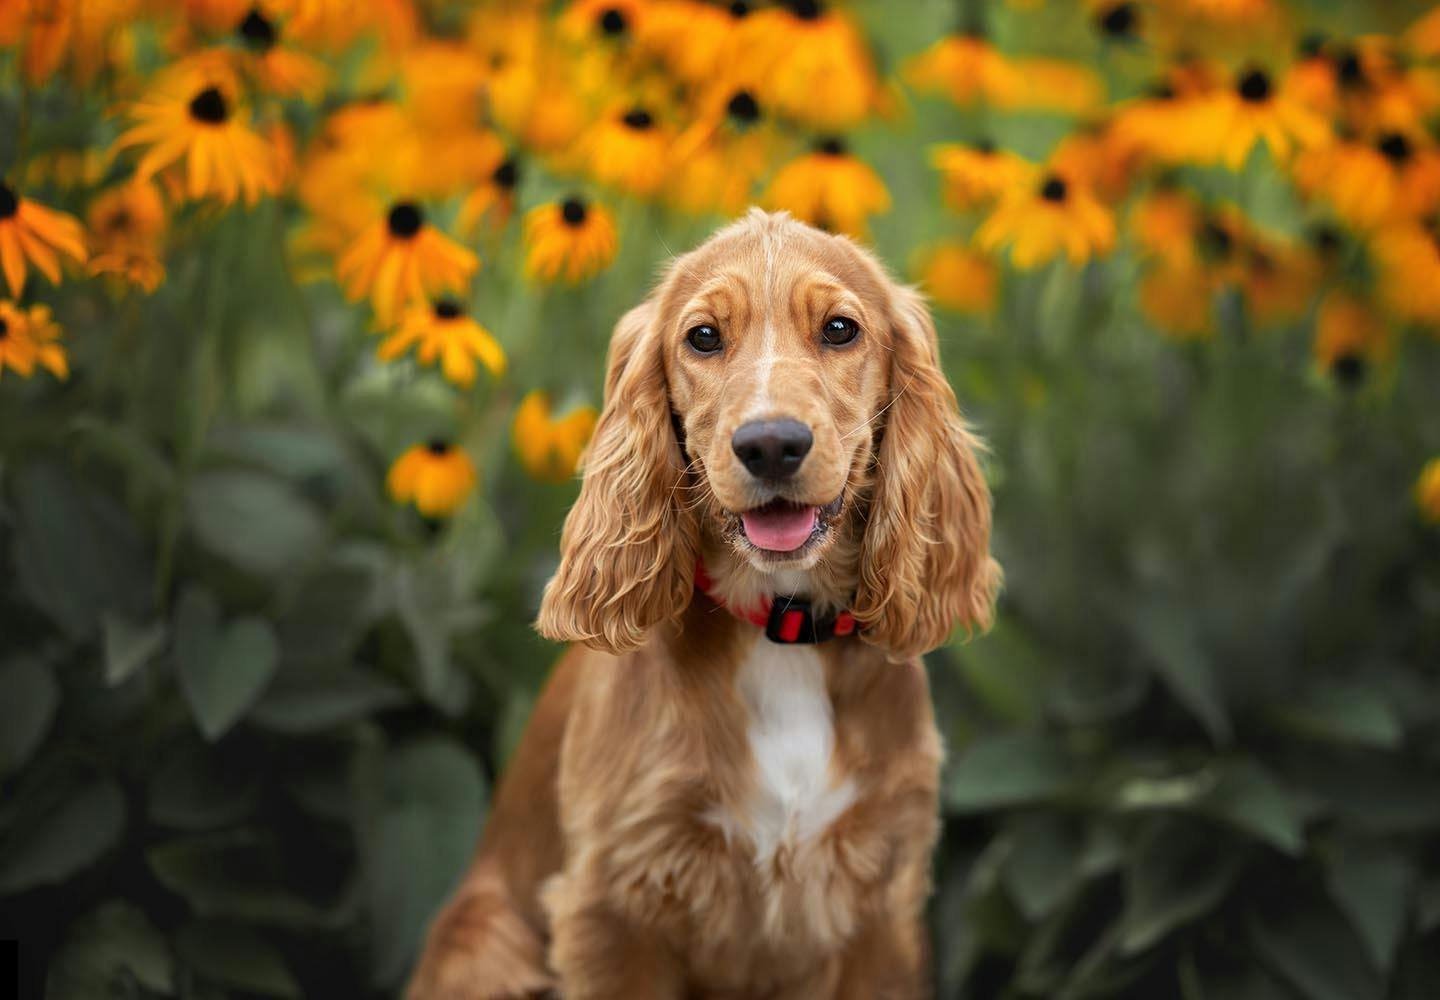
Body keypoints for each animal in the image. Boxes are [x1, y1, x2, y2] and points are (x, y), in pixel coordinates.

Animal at [403, 211, 990, 1000]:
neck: (779, 629)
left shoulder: (882, 907)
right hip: (484, 940)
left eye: (840, 329)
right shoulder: (614, 905)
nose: (771, 444)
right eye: (704, 336)